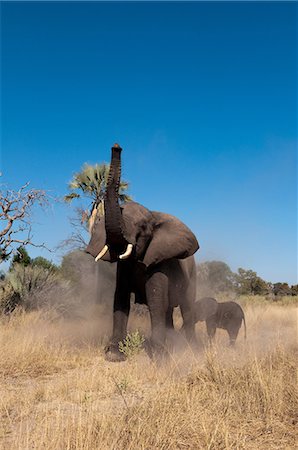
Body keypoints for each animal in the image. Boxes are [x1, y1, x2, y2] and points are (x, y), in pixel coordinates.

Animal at [85, 144, 200, 362]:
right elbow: (120, 300)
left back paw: (192, 348)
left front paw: (159, 356)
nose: (116, 146)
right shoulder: (123, 268)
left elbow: (156, 300)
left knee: (187, 309)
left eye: (143, 228)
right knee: (169, 311)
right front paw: (114, 354)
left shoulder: (159, 261)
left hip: (192, 277)